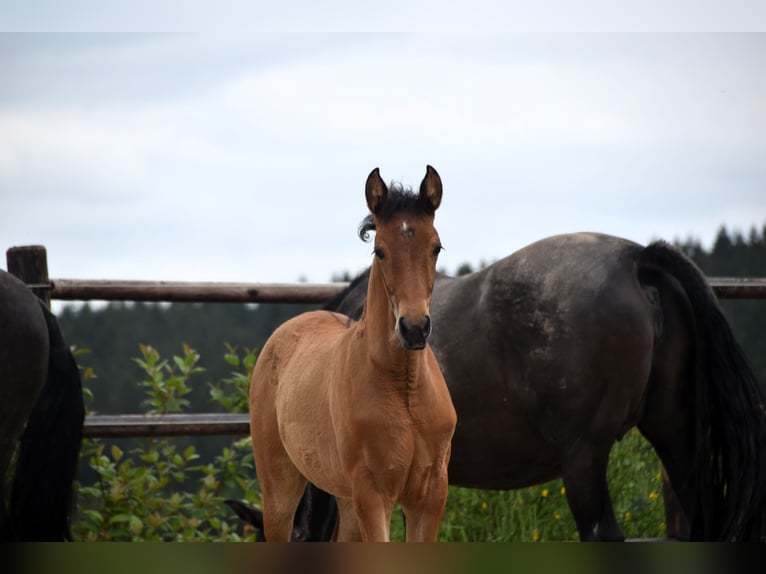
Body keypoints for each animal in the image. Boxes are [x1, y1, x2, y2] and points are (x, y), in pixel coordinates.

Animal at [250, 166, 456, 544]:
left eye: (436, 247)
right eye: (380, 251)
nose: (414, 328)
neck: (404, 388)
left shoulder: (430, 496)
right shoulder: (373, 496)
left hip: (345, 501)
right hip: (280, 489)